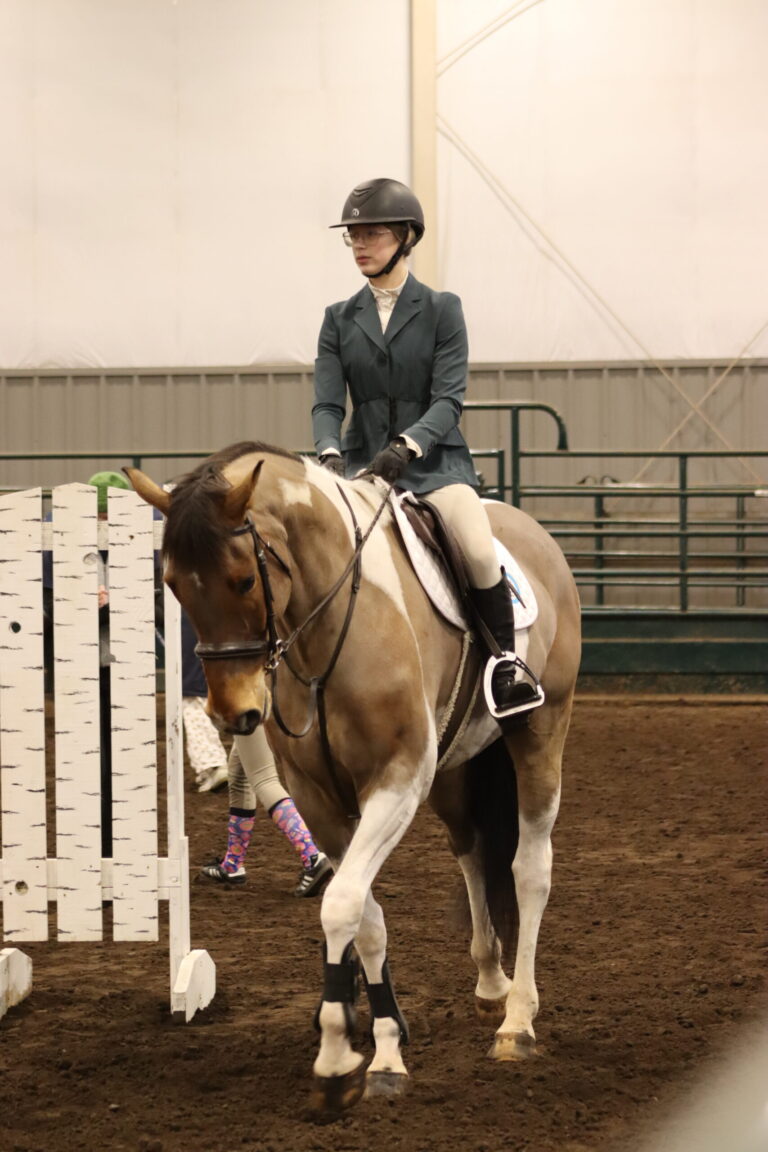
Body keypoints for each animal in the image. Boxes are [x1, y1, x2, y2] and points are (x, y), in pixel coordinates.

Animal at [127, 437, 582, 1105]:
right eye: (172, 585)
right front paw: (386, 1046)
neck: (326, 625)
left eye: (243, 580)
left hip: (539, 735)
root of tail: (534, 532)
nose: (234, 713)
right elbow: (365, 916)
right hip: (455, 770)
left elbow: (341, 905)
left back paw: (517, 1021)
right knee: (473, 853)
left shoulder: (397, 781)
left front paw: (342, 1054)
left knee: (529, 869)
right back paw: (490, 985)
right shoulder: (320, 800)